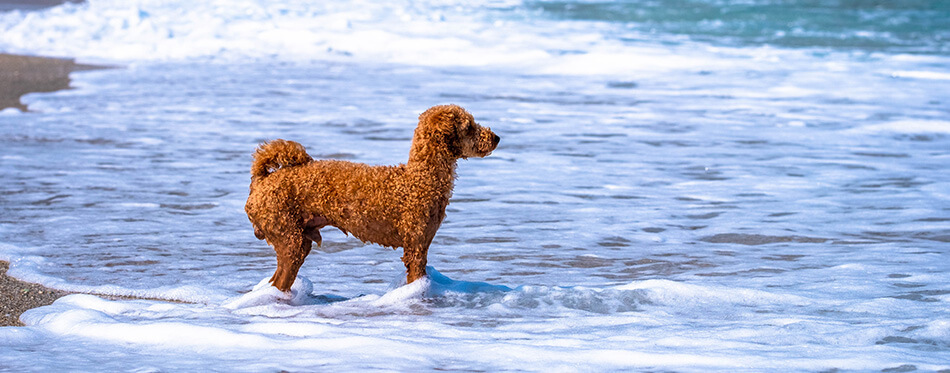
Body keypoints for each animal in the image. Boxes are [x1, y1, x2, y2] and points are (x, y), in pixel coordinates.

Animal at [244, 104, 498, 290]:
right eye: (469, 126)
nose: (496, 137)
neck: (420, 178)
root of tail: (261, 180)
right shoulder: (415, 248)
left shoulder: (422, 244)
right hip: (289, 238)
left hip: (297, 237)